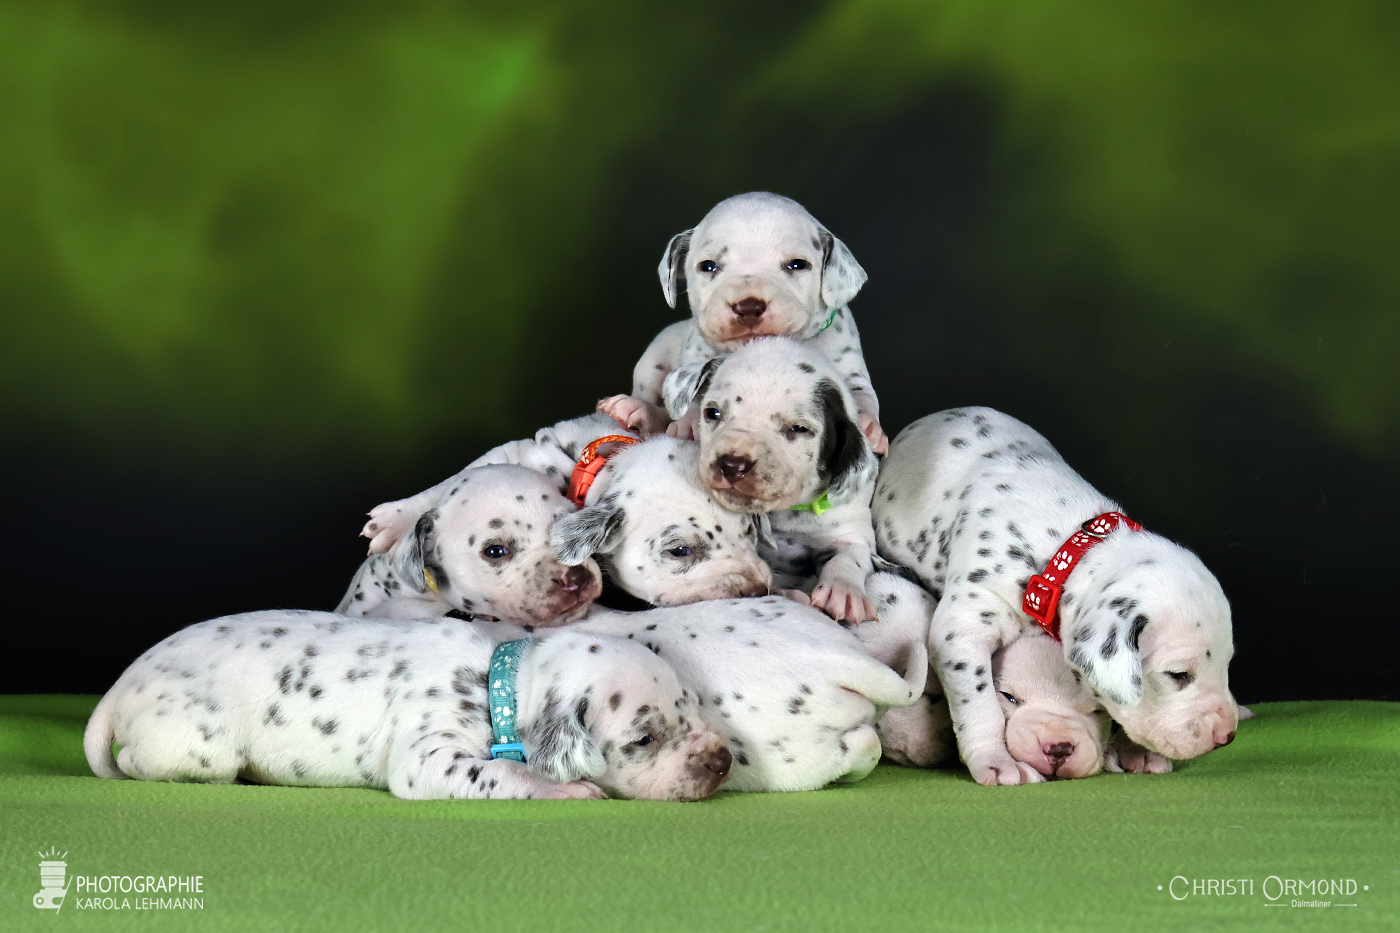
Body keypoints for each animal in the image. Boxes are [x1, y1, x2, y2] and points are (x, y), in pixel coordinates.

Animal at [84, 612, 732, 802]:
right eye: (644, 740)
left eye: (693, 707)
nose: (723, 761)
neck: (496, 682)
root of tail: (119, 686)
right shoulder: (429, 757)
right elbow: (506, 771)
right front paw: (568, 790)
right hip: (198, 746)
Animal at [597, 192, 887, 454]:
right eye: (708, 266)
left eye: (797, 264)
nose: (748, 306)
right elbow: (697, 391)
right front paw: (690, 422)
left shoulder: (850, 369)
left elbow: (861, 395)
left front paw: (868, 426)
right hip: (649, 367)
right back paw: (636, 411)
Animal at [661, 337, 881, 623]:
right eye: (713, 413)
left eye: (799, 429)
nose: (732, 464)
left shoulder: (852, 529)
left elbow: (848, 555)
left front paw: (843, 591)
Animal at [874, 407, 1238, 785]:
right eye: (1178, 674)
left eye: (1228, 662)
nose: (1226, 736)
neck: (1069, 549)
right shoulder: (965, 624)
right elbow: (980, 702)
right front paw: (995, 759)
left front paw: (1137, 751)